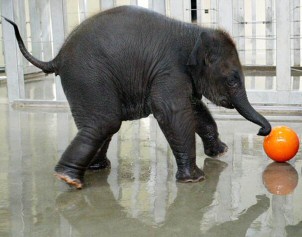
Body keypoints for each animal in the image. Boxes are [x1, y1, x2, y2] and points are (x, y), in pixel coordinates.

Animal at [5, 5, 272, 189]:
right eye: (232, 80)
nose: (262, 132)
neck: (195, 32)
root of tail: (57, 56)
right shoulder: (169, 69)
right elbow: (172, 112)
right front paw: (194, 180)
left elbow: (195, 109)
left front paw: (220, 153)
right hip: (87, 76)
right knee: (106, 121)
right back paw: (69, 179)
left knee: (100, 124)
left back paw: (93, 169)